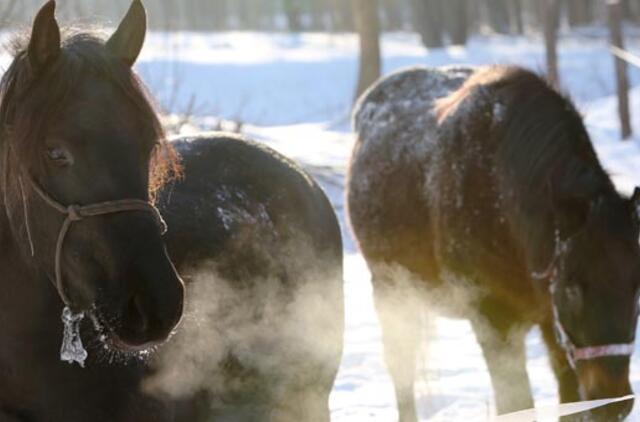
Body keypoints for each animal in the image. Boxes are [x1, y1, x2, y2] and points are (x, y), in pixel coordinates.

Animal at [350, 64, 640, 420]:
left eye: (637, 288)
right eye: (572, 287)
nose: (613, 401)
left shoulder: (552, 325)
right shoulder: (493, 320)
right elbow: (516, 404)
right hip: (391, 290)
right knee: (402, 368)